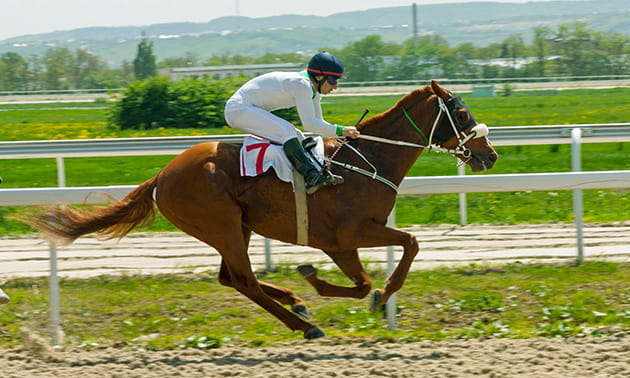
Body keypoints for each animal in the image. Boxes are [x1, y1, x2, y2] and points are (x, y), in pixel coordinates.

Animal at [29, 79, 502, 340]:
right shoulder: (347, 235)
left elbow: (366, 278)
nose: (490, 155)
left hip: (236, 228)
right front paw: (374, 294)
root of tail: (162, 175)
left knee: (233, 278)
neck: (367, 160)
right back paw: (304, 323)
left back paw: (297, 304)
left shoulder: (341, 242)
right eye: (462, 113)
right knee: (244, 281)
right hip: (221, 226)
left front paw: (316, 283)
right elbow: (404, 250)